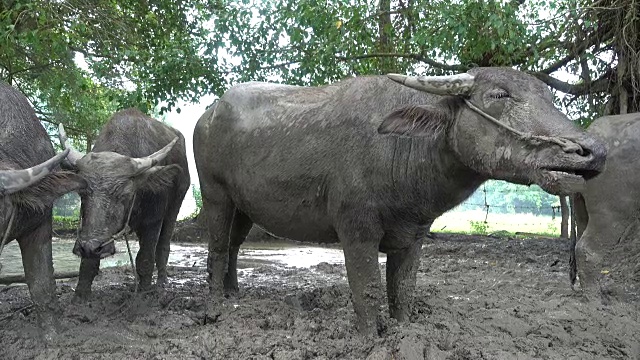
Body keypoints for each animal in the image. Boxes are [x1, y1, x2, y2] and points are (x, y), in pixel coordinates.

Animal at [59, 109, 190, 298]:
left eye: (124, 194)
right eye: (82, 192)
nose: (90, 247)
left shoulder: (153, 220)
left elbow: (145, 258)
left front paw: (144, 292)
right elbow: (88, 263)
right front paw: (81, 295)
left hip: (175, 205)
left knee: (163, 245)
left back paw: (161, 281)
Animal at [192, 67, 608, 334]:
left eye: (549, 97)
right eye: (499, 95)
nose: (593, 151)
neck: (404, 149)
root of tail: (208, 116)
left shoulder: (415, 234)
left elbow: (403, 290)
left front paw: (403, 328)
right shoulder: (356, 229)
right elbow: (368, 290)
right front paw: (371, 337)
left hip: (245, 206)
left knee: (234, 245)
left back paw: (234, 293)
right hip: (216, 195)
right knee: (216, 248)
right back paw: (214, 308)